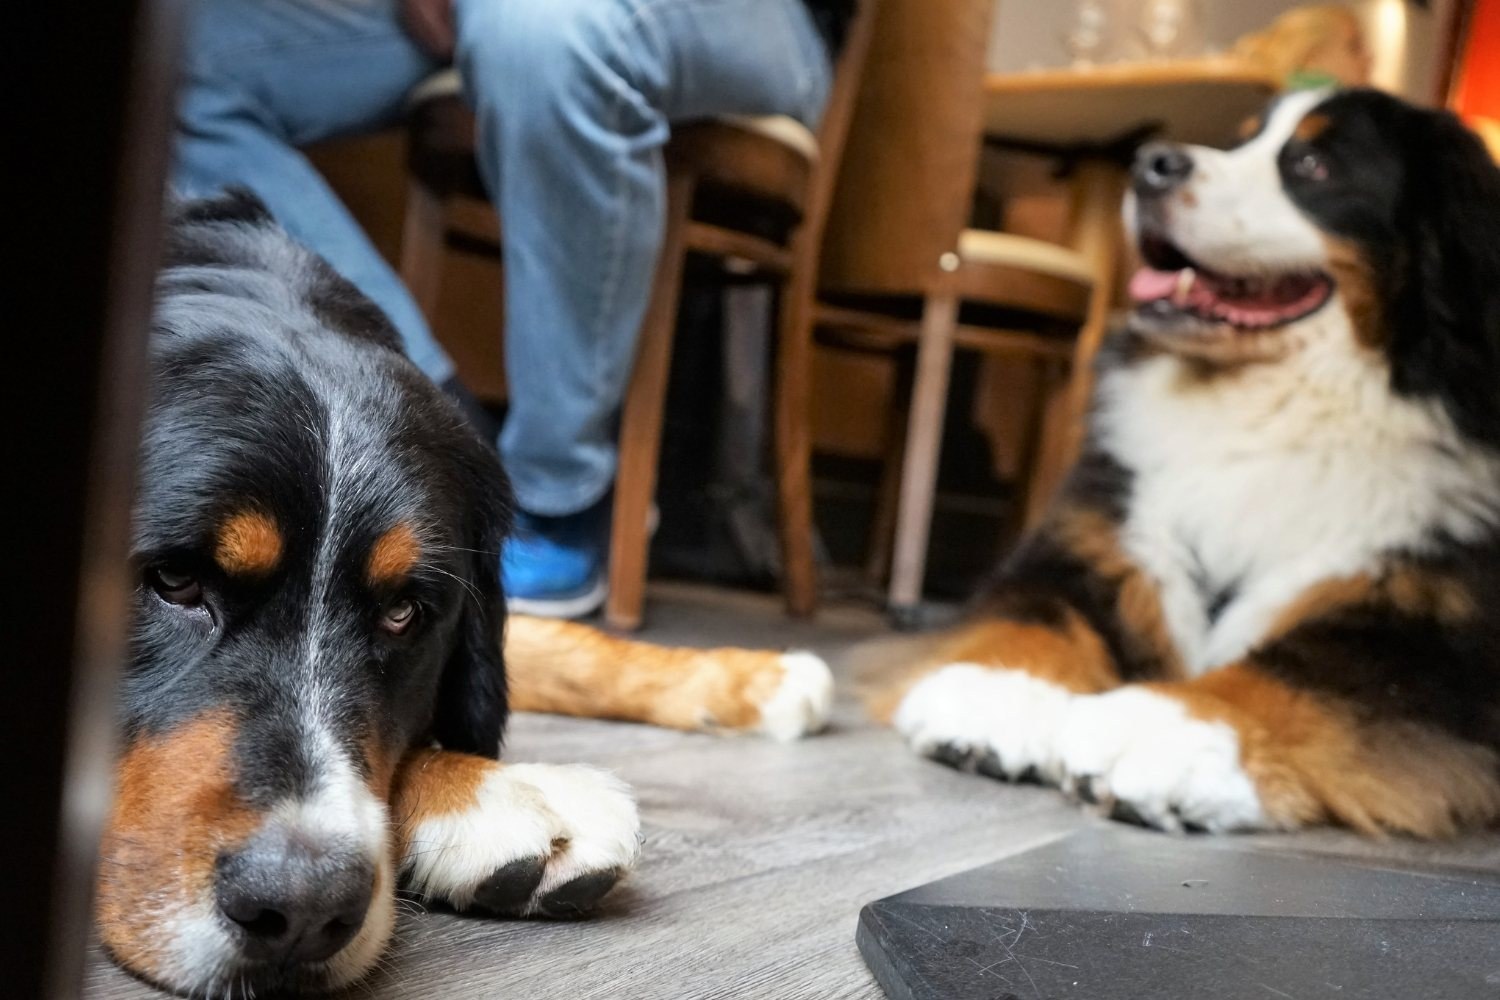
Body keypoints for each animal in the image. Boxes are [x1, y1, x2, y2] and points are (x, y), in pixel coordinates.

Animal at [101, 191, 840, 995]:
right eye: (175, 580)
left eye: (404, 614)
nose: (300, 907)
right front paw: (493, 791)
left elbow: (556, 646)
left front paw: (750, 676)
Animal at [882, 88, 1500, 839]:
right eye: (1239, 141)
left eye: (1314, 165)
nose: (1152, 165)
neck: (1262, 413)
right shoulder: (1103, 535)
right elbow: (1037, 608)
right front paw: (998, 690)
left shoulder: (1436, 628)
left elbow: (1309, 670)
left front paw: (1167, 726)